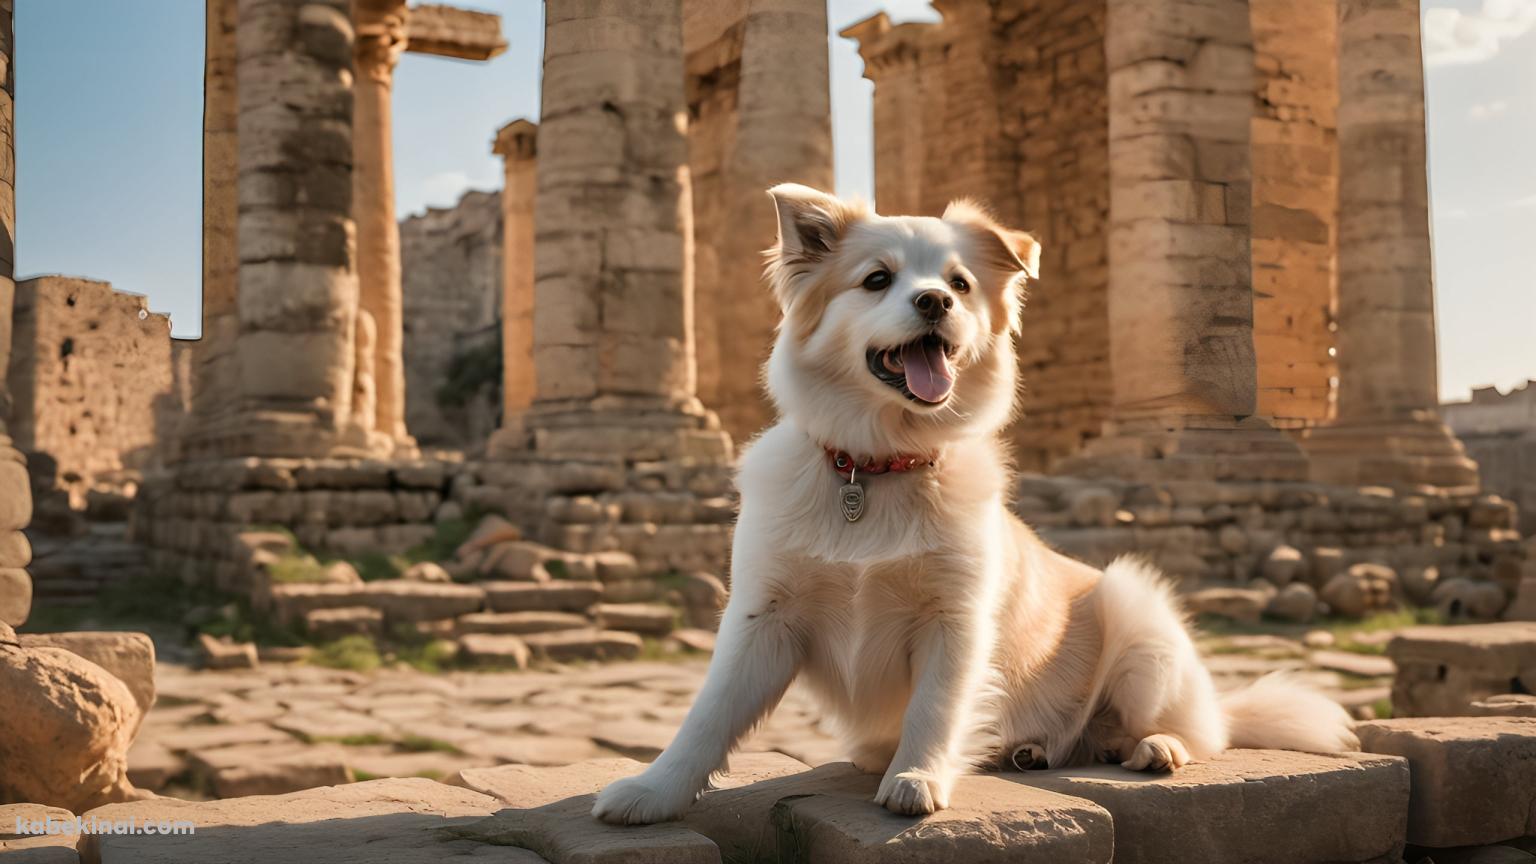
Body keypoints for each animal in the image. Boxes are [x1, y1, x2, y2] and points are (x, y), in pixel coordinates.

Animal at [586, 181, 1357, 817]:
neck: (877, 468)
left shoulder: (955, 618)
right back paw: (1029, 750)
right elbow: (708, 716)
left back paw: (1149, 747)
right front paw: (651, 792)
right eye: (877, 280)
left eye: (959, 282)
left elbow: (935, 706)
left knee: (1193, 731)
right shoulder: (762, 617)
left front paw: (917, 779)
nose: (935, 301)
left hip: (1136, 612)